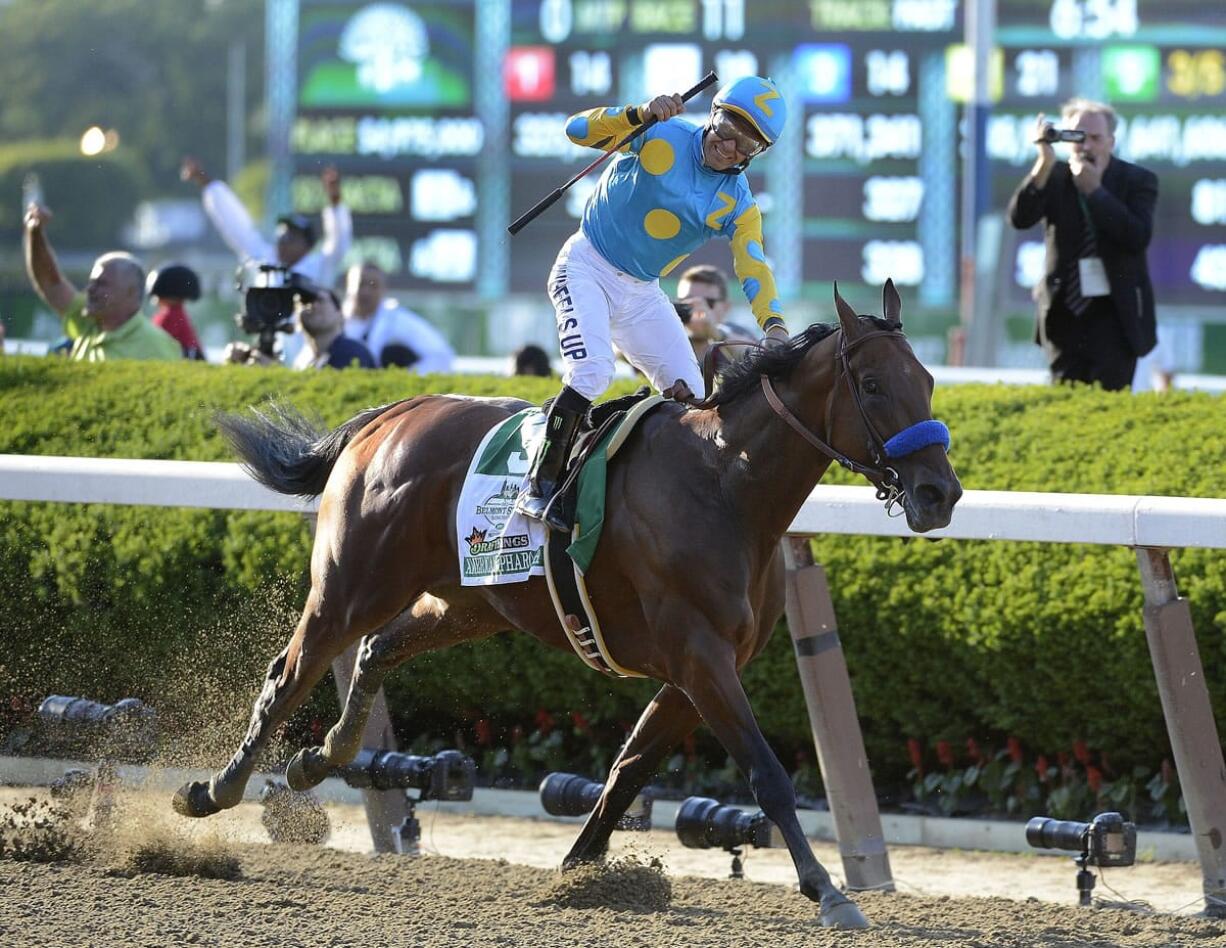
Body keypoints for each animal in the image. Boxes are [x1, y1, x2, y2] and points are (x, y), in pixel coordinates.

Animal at [175, 283, 956, 932]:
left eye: (927, 380)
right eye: (873, 385)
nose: (940, 492)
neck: (723, 485)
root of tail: (388, 414)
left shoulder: (695, 670)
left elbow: (629, 766)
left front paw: (578, 870)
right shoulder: (700, 657)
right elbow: (766, 774)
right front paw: (828, 891)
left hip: (467, 602)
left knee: (375, 650)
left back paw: (320, 757)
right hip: (351, 585)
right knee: (290, 671)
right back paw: (214, 789)